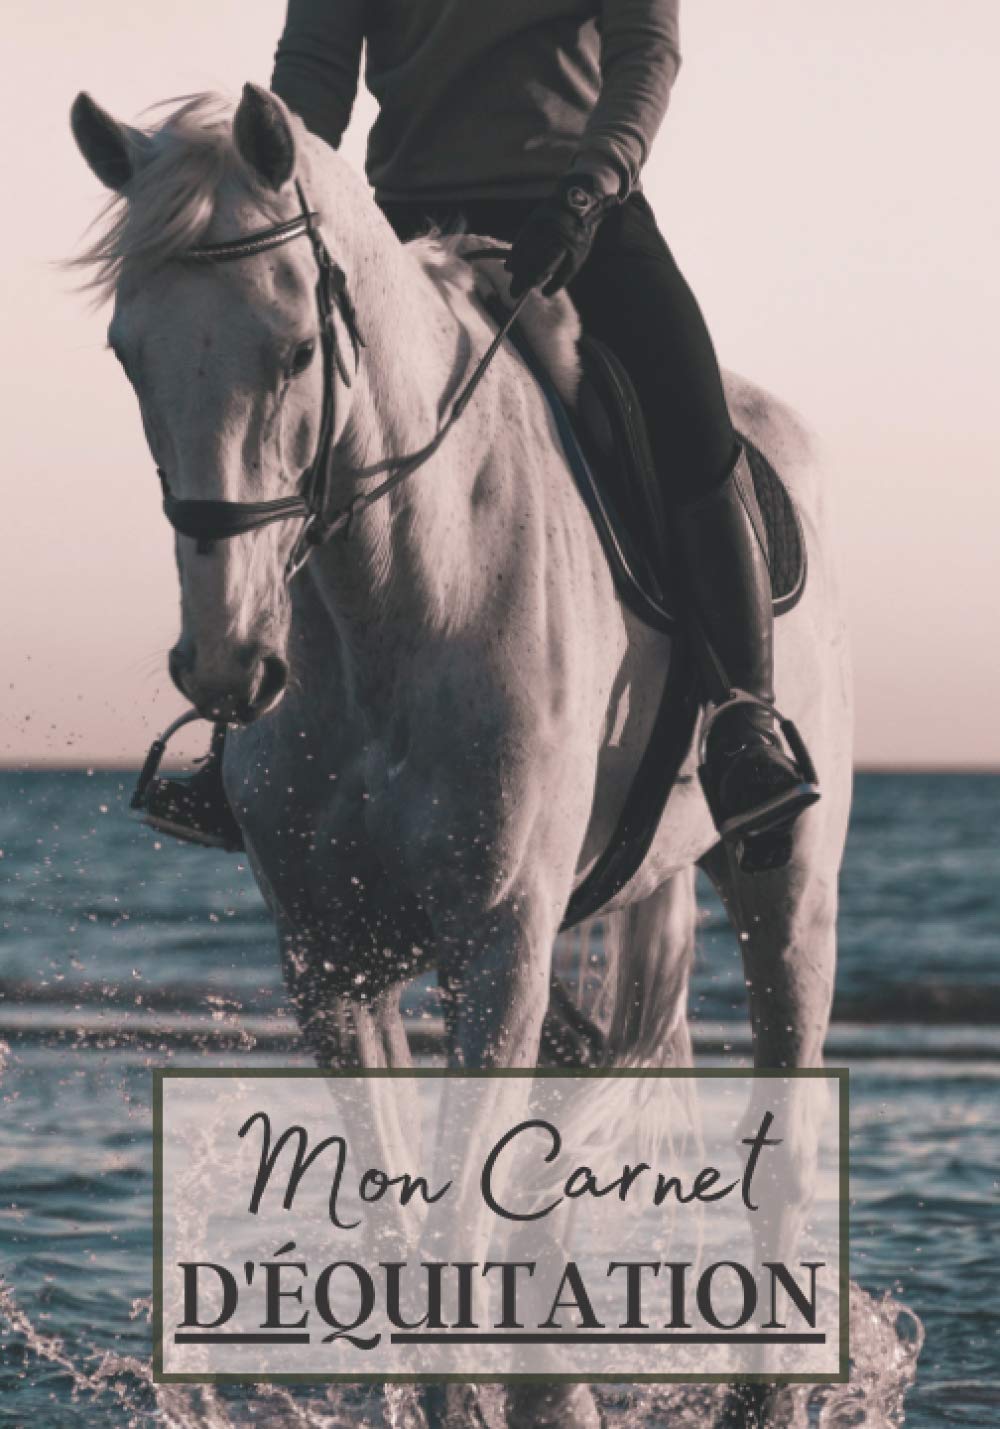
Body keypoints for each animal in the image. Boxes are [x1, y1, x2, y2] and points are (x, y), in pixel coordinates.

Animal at [70, 83, 853, 1428]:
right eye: (130, 356)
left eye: (295, 349)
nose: (226, 665)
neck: (399, 591)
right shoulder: (333, 961)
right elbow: (403, 1237)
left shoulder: (495, 944)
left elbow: (450, 1223)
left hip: (786, 885)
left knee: (783, 1152)